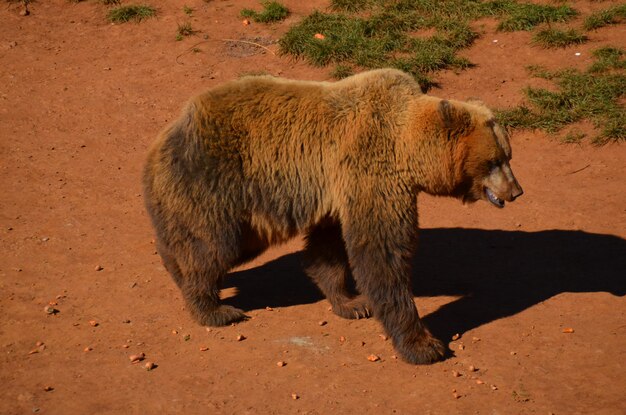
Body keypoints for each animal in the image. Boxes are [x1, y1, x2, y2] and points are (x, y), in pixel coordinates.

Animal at [141, 70, 520, 366]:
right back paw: (216, 309)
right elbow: (383, 255)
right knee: (212, 246)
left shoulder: (339, 193)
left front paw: (352, 303)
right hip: (218, 183)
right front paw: (425, 345)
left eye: (508, 155)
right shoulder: (372, 170)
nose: (516, 191)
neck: (407, 149)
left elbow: (329, 250)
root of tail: (162, 140)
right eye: (494, 161)